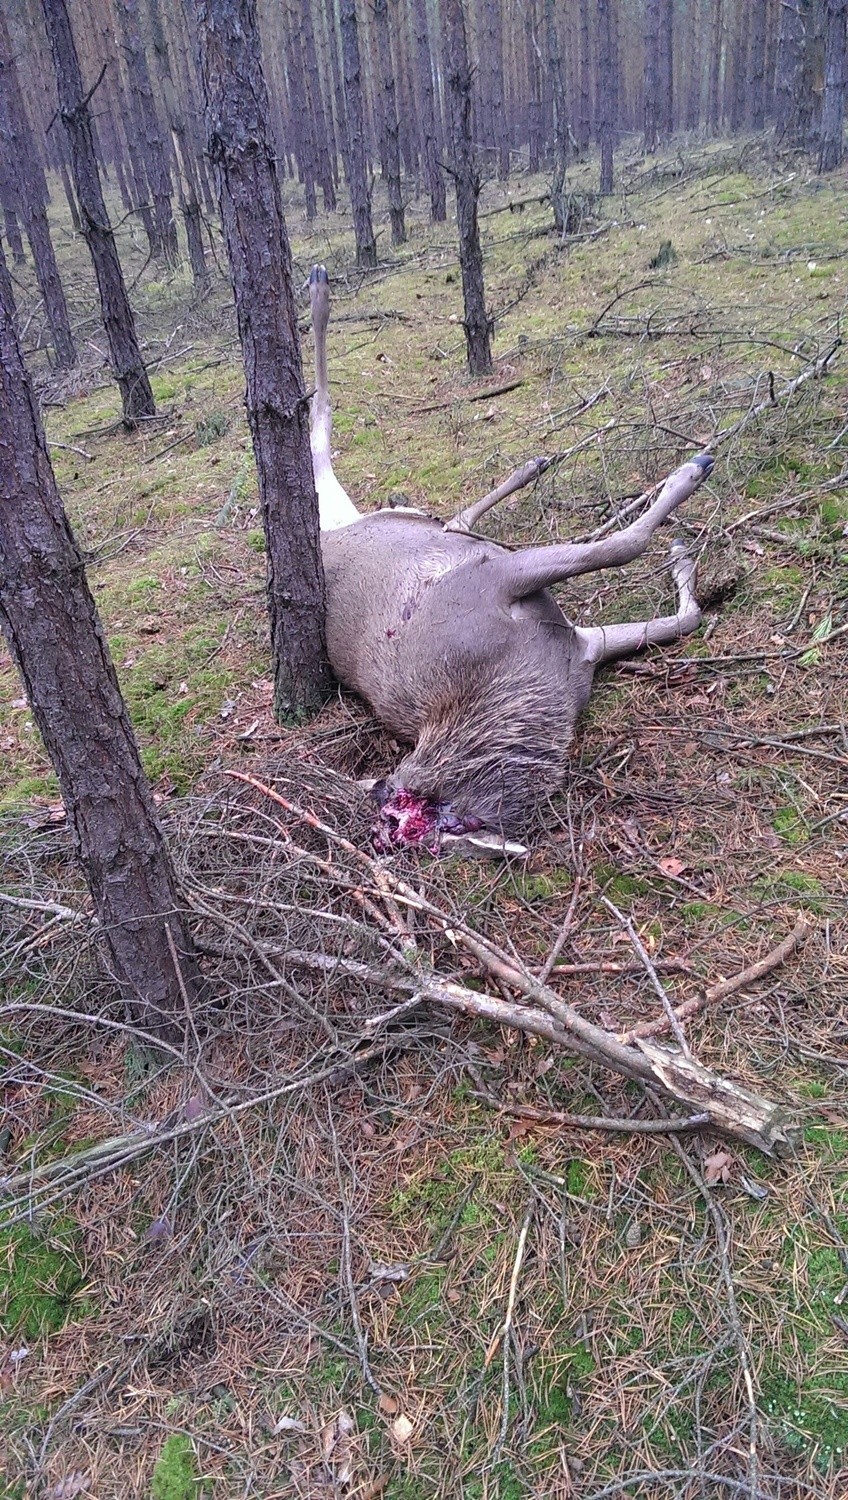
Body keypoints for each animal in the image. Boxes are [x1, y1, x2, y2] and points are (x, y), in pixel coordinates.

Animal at [309, 267, 708, 858]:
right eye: (402, 814)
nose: (380, 788)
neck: (534, 685)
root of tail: (330, 537)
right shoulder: (496, 580)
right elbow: (625, 547)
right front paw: (688, 476)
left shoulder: (574, 636)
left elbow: (684, 615)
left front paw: (681, 554)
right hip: (344, 521)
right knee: (319, 427)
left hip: (395, 518)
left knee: (447, 514)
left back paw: (531, 466)